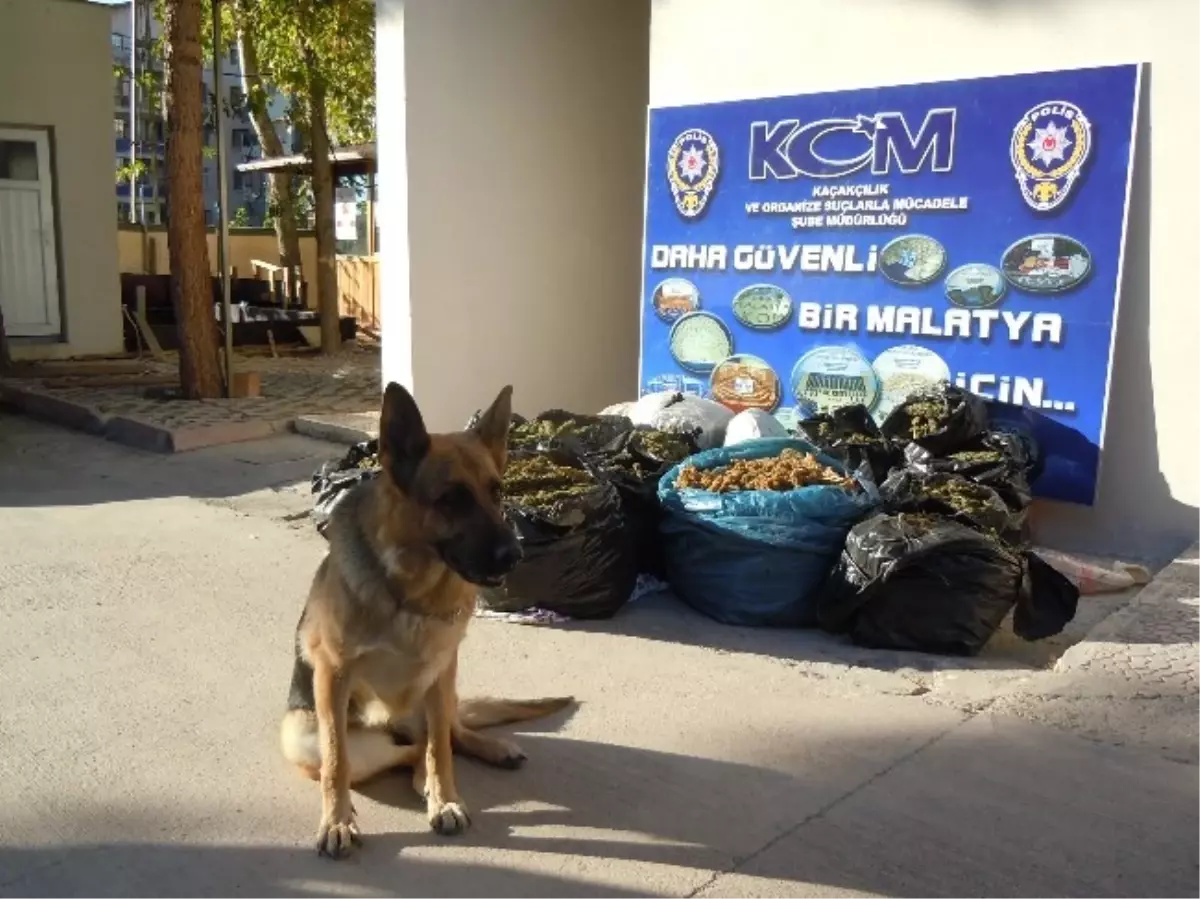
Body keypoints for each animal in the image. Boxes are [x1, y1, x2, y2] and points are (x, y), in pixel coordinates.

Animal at [285, 379, 576, 854]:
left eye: (497, 492)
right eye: (452, 499)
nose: (515, 555)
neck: (411, 593)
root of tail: (396, 724)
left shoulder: (441, 673)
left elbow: (442, 747)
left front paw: (446, 799)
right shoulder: (332, 676)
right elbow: (337, 762)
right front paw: (337, 820)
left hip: (442, 694)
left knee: (443, 735)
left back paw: (482, 753)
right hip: (305, 738)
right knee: (392, 753)